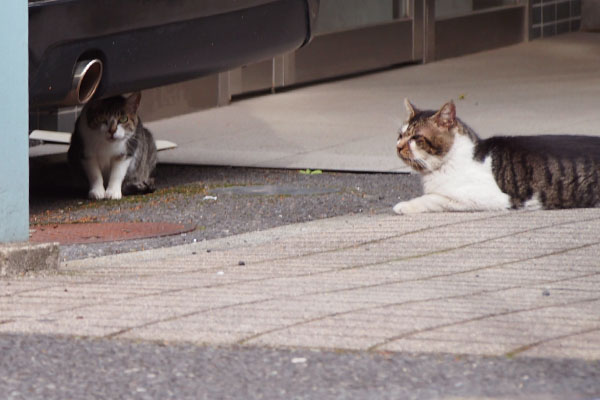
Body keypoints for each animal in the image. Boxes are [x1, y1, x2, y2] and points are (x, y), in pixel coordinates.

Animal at [394, 99, 600, 214]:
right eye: (401, 135)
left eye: (416, 138)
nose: (398, 146)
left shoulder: (485, 197)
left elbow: (433, 198)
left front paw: (404, 206)